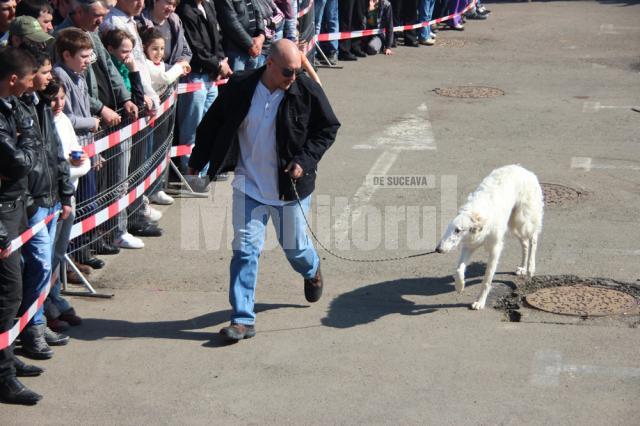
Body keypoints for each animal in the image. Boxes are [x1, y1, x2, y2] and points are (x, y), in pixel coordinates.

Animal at [432, 164, 544, 310]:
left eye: (458, 230)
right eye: (449, 229)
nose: (438, 249)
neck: (477, 217)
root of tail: (526, 171)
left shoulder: (495, 249)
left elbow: (486, 280)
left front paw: (480, 302)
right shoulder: (469, 246)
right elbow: (458, 270)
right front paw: (459, 286)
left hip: (523, 221)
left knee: (534, 238)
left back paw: (530, 268)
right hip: (514, 224)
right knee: (525, 243)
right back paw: (522, 268)